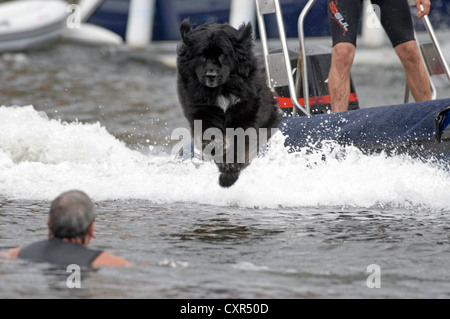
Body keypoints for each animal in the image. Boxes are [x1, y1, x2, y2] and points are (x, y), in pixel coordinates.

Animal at [175, 19, 282, 188]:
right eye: (201, 55)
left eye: (222, 55)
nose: (211, 75)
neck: (221, 90)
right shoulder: (202, 112)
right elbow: (210, 136)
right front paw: (220, 151)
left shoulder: (246, 115)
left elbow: (241, 144)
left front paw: (229, 174)